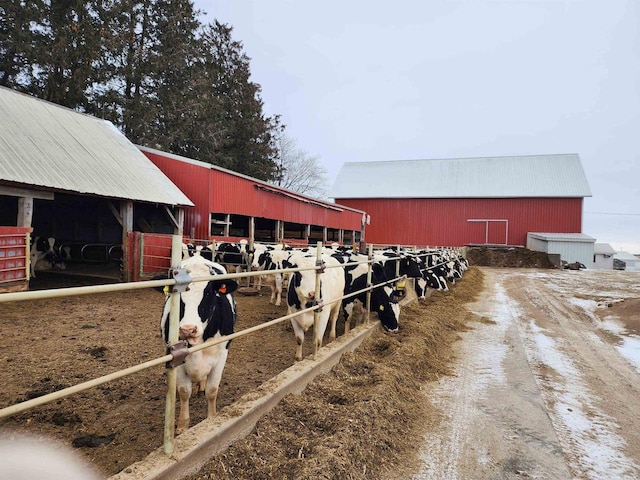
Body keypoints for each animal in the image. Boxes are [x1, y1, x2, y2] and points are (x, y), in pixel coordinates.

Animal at [161, 253, 239, 434]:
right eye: (177, 295)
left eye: (208, 292)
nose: (188, 329)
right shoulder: (177, 359)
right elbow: (184, 391)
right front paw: (182, 425)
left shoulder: (222, 355)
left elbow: (212, 390)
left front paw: (210, 419)